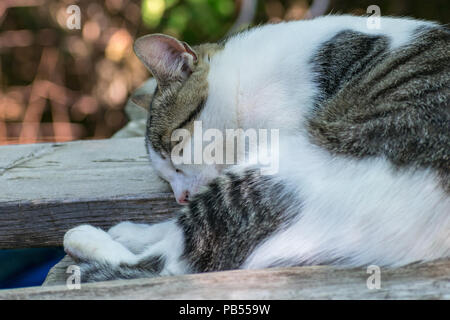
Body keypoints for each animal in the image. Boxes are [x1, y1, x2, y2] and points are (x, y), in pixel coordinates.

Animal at [64, 14, 450, 282]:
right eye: (164, 178)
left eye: (175, 150)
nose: (180, 196)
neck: (242, 83)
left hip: (273, 171)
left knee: (173, 260)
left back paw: (82, 236)